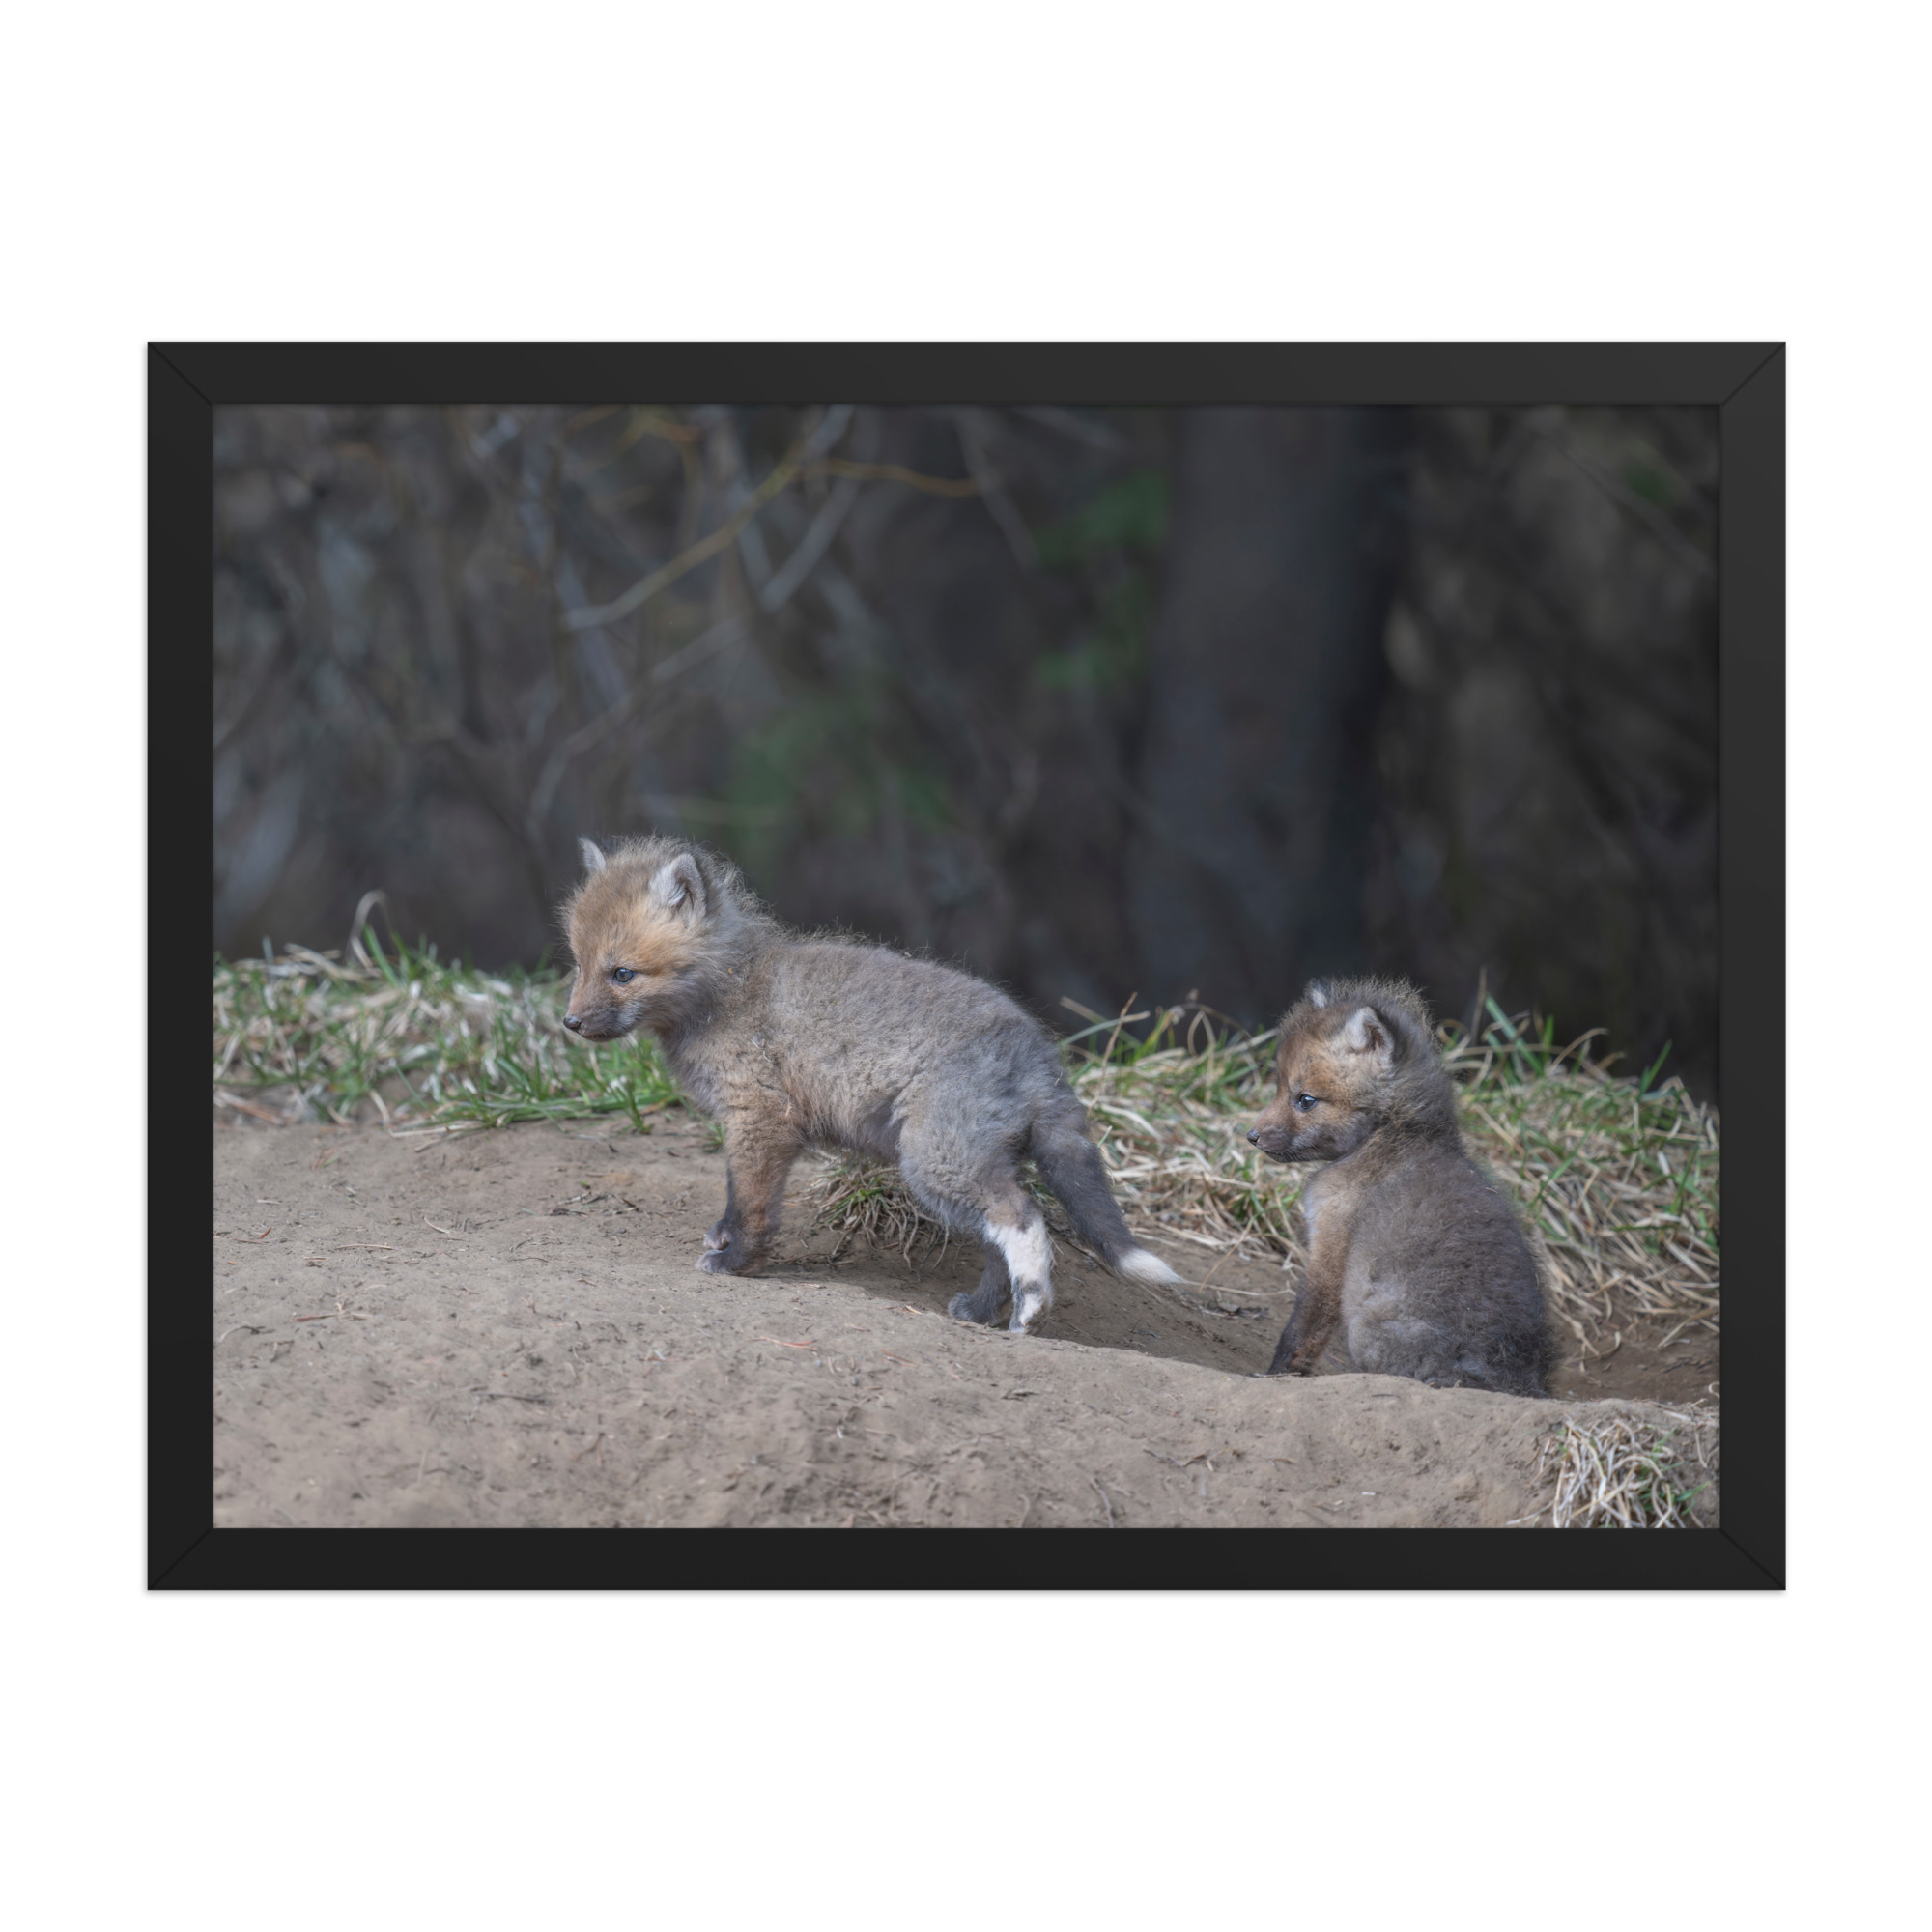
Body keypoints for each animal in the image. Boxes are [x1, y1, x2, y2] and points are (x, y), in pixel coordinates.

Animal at [559, 835, 1181, 1332]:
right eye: (579, 965)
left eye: (623, 973)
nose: (570, 1023)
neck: (728, 990)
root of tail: (1039, 1052)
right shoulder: (754, 1126)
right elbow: (737, 1197)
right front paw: (725, 1240)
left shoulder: (761, 1118)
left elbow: (752, 1203)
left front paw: (736, 1263)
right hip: (964, 1167)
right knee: (997, 1243)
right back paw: (982, 1312)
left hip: (935, 1162)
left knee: (1023, 1219)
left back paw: (1032, 1309)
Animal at [1249, 977, 1554, 1396]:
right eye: (1279, 1088)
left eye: (1305, 1100)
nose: (1251, 1136)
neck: (1392, 1135)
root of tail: (1511, 1380)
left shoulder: (1331, 1247)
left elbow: (1301, 1330)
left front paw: (1274, 1376)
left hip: (1365, 1329)